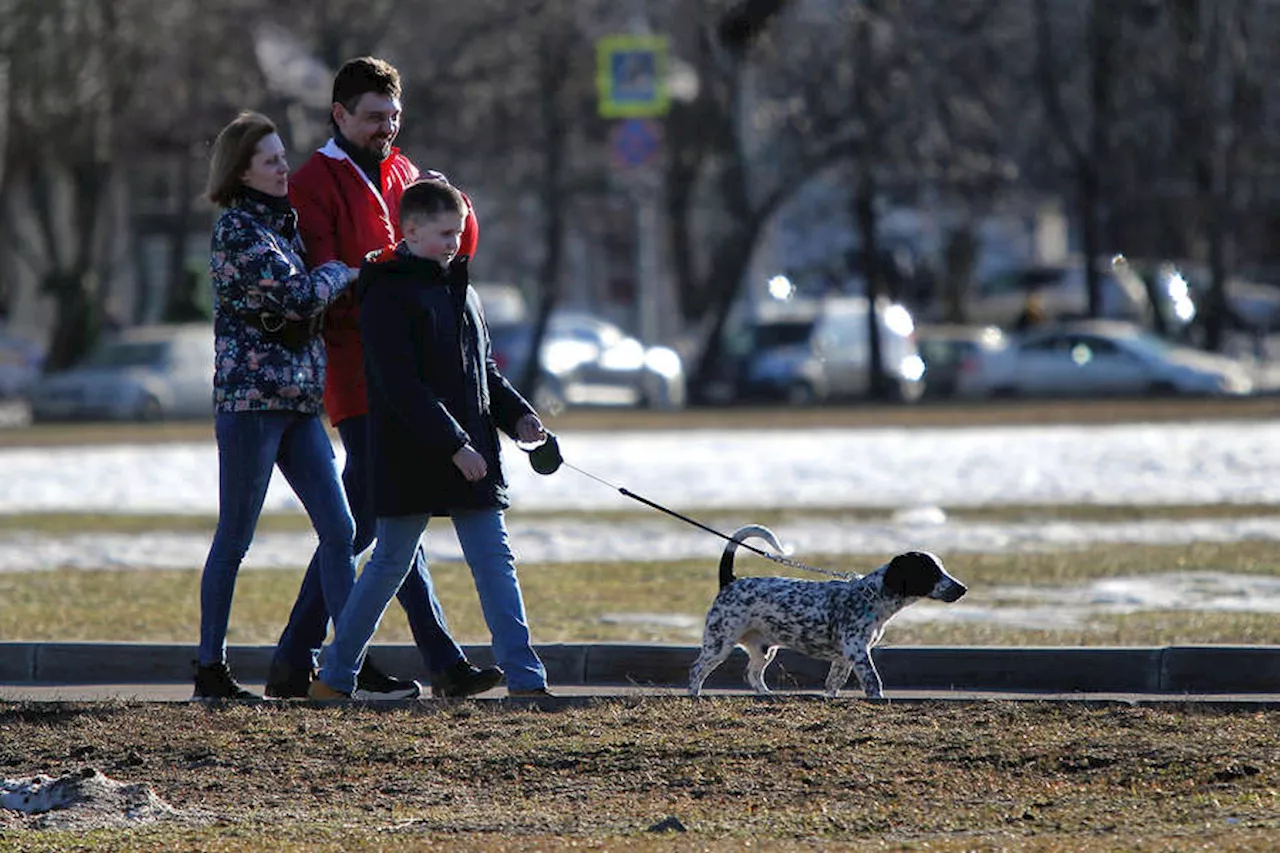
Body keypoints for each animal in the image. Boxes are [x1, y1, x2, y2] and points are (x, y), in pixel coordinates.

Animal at [691, 525, 967, 696]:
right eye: (929, 571)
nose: (962, 588)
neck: (871, 595)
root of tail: (730, 581)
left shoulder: (843, 659)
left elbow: (833, 684)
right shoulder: (857, 651)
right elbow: (873, 682)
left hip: (763, 649)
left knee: (753, 675)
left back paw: (766, 695)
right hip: (719, 644)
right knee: (697, 670)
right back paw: (695, 695)